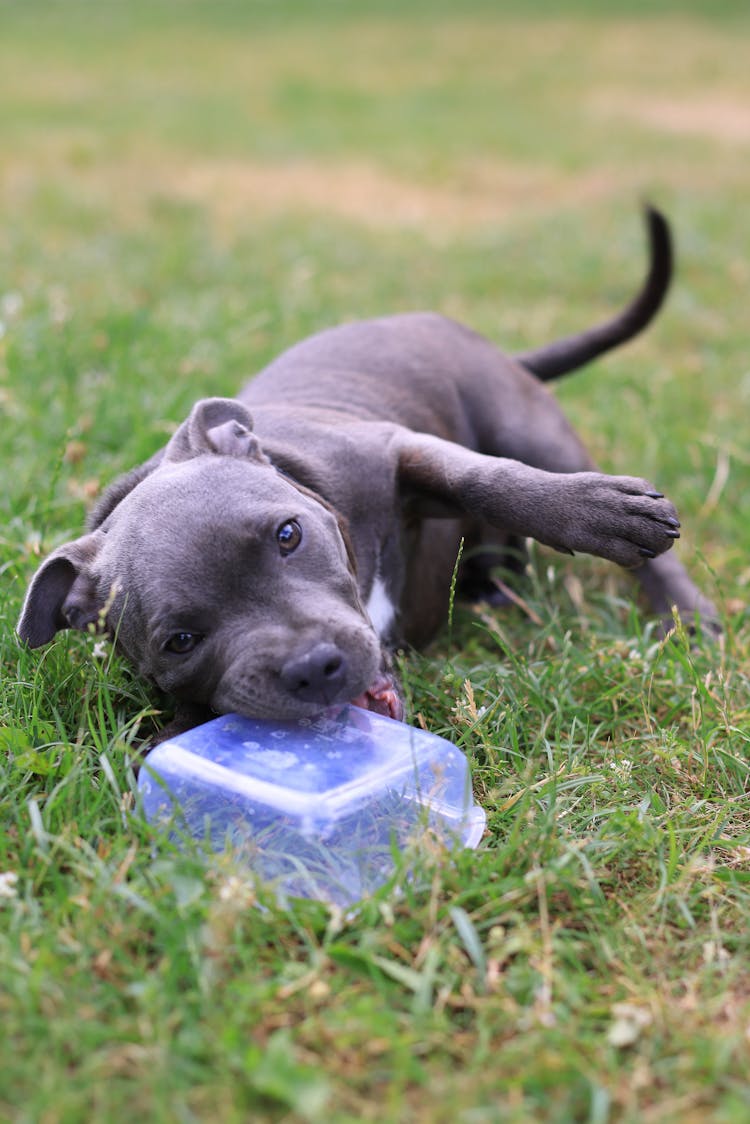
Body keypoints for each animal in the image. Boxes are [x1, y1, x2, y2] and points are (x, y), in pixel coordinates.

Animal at [20, 209, 719, 737]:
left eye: (289, 535)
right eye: (180, 642)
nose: (313, 667)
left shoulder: (398, 449)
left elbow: (485, 481)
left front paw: (605, 514)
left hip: (530, 428)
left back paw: (681, 611)